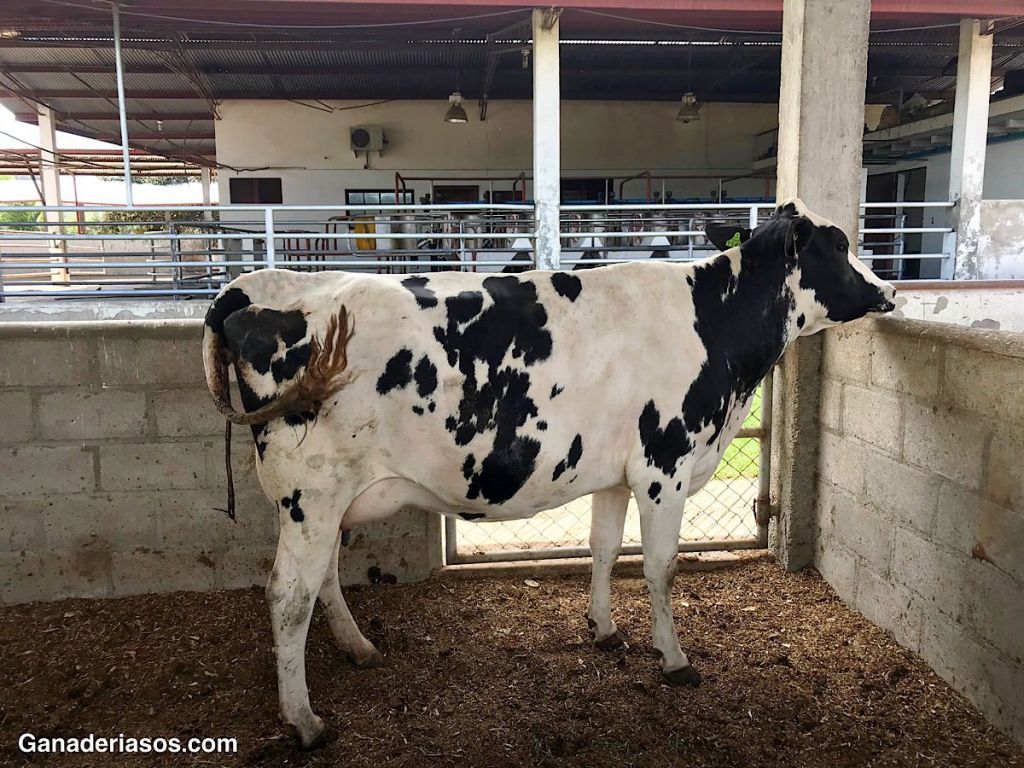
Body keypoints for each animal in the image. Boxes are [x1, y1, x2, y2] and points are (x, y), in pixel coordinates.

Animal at [202, 199, 895, 748]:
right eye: (840, 245)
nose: (889, 292)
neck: (715, 327)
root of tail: (254, 286)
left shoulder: (617, 474)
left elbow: (604, 547)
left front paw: (604, 629)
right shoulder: (665, 464)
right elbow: (660, 567)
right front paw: (673, 660)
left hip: (323, 502)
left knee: (320, 580)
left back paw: (359, 649)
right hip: (311, 492)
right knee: (289, 595)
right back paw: (304, 721)